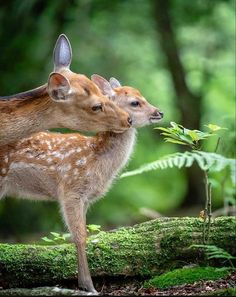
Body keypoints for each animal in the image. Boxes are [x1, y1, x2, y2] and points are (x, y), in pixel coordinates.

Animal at [0, 75, 162, 292]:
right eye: (135, 102)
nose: (159, 112)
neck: (95, 159)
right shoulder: (71, 190)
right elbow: (80, 236)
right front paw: (89, 286)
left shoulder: (85, 198)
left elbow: (83, 233)